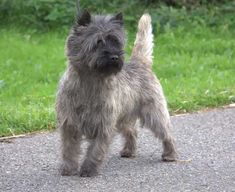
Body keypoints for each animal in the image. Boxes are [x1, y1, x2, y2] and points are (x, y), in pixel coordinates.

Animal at [56, 10, 177, 177]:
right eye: (98, 42)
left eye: (116, 42)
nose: (114, 56)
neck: (90, 81)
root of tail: (141, 62)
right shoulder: (69, 123)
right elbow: (69, 149)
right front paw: (68, 168)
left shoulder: (104, 123)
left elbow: (95, 149)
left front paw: (88, 169)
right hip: (124, 117)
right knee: (132, 131)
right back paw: (129, 151)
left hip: (153, 112)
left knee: (166, 132)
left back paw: (170, 154)